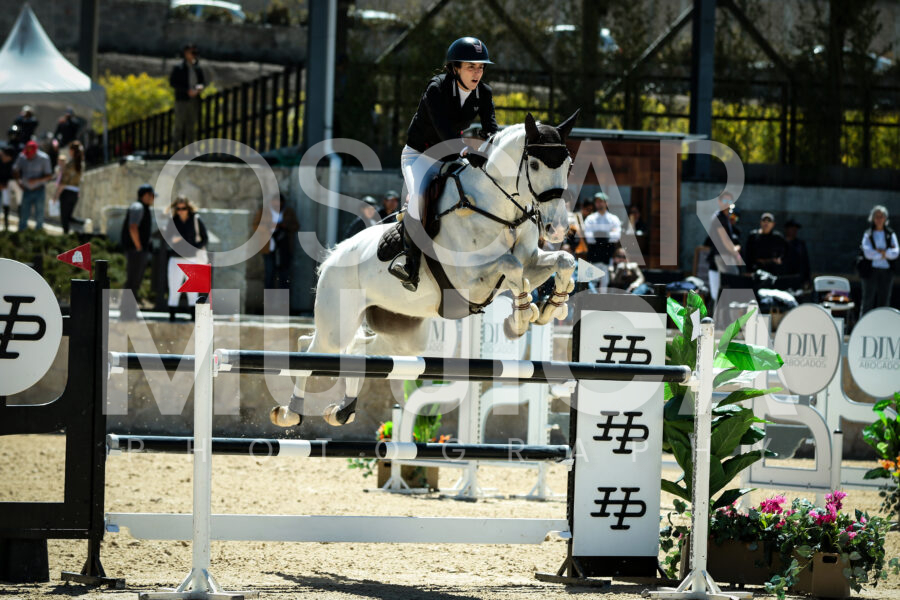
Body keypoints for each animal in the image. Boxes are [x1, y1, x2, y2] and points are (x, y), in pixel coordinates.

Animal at [270, 112, 579, 428]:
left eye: (568, 165)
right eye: (535, 164)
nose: (557, 228)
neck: (499, 212)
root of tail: (332, 257)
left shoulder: (529, 262)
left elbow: (563, 261)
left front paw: (552, 307)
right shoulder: (469, 279)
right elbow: (511, 265)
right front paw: (521, 318)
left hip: (405, 336)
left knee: (358, 350)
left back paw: (342, 410)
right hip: (337, 325)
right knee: (310, 348)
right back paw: (290, 412)